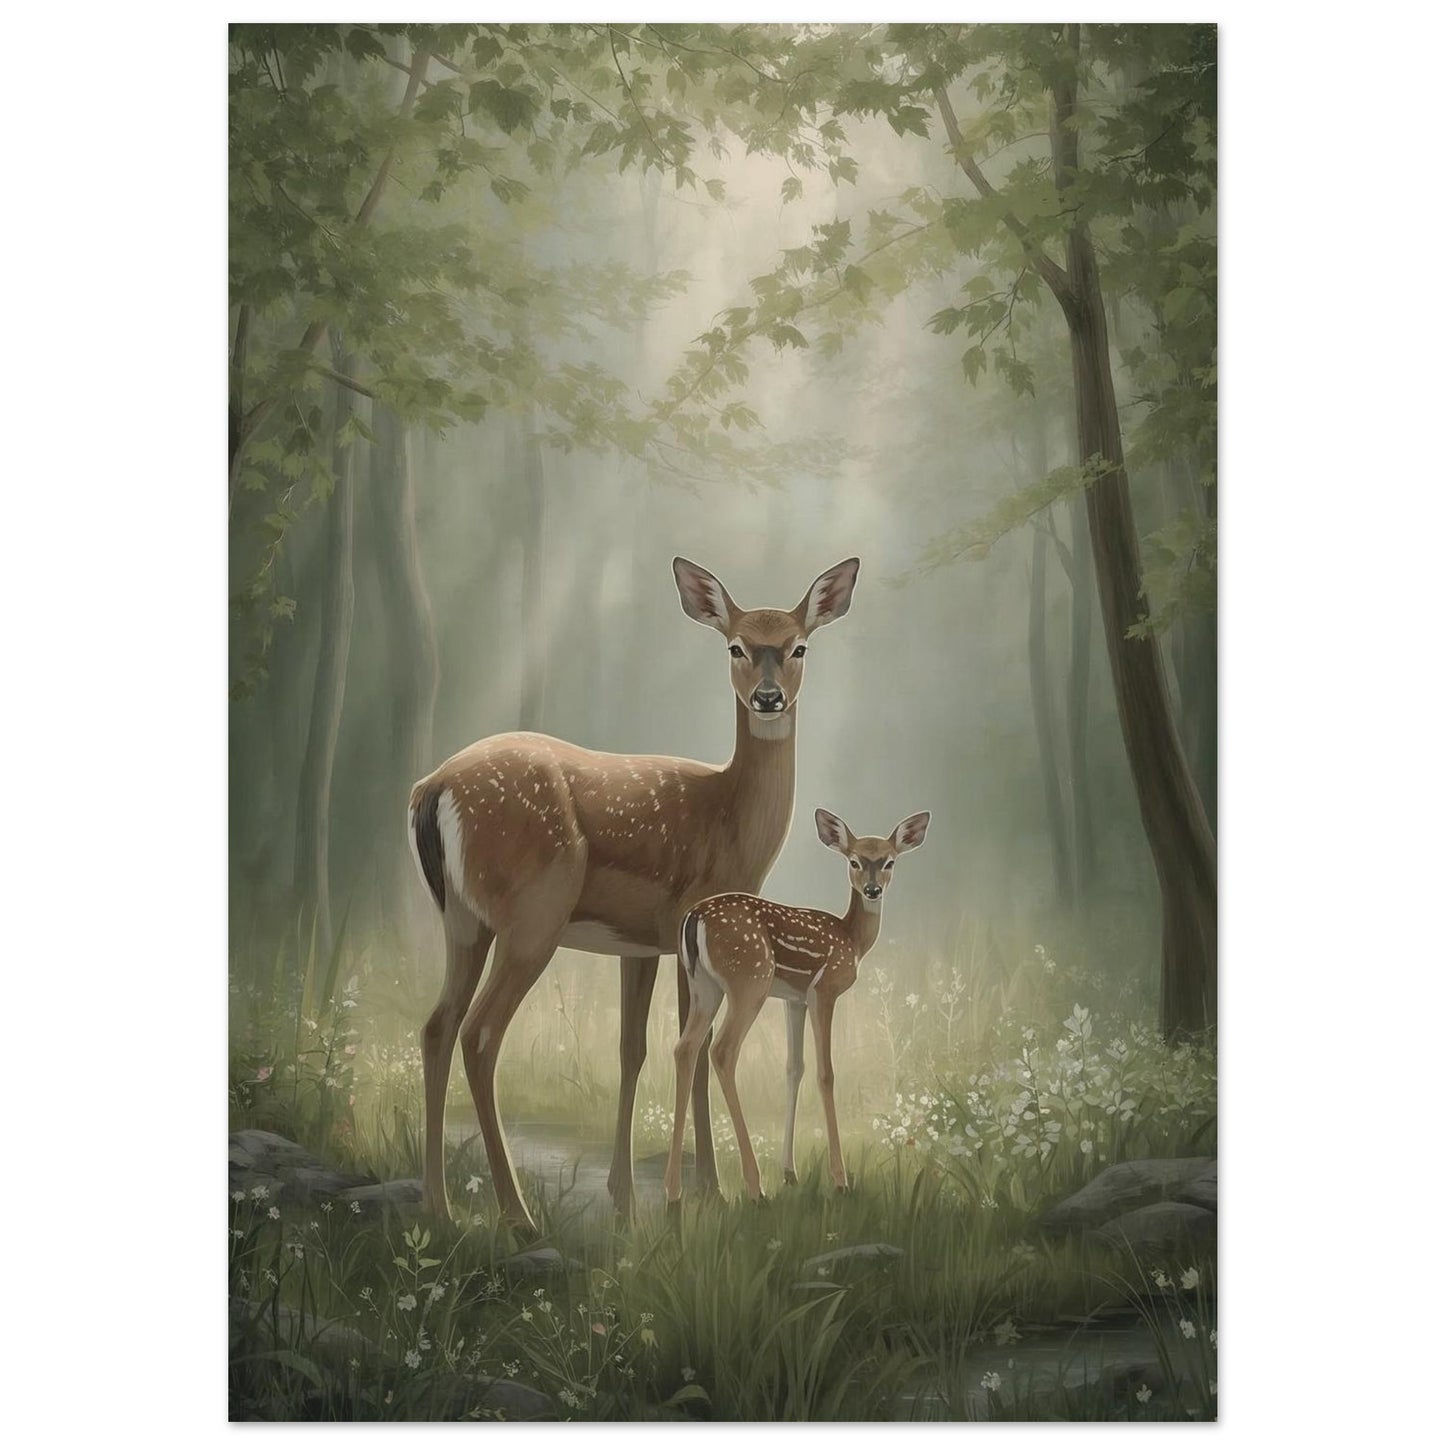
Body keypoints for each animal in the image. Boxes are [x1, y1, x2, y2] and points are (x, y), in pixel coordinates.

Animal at [407, 556, 860, 1233]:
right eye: (735, 646)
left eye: (799, 645)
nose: (768, 698)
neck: (730, 821)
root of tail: (430, 789)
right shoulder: (688, 919)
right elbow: (694, 1052)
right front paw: (709, 1191)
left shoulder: (640, 943)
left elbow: (631, 1051)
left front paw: (625, 1200)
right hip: (532, 916)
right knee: (481, 1035)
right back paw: (517, 1214)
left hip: (462, 919)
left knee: (438, 1025)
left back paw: (438, 1206)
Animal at [664, 807, 931, 1208]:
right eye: (853, 861)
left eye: (889, 861)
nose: (873, 890)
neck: (852, 940)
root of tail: (693, 918)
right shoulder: (824, 990)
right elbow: (825, 1073)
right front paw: (840, 1180)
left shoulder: (795, 999)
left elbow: (794, 1068)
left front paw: (790, 1173)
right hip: (749, 981)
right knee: (722, 1050)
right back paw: (754, 1187)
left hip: (703, 986)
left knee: (685, 1048)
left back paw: (674, 1192)